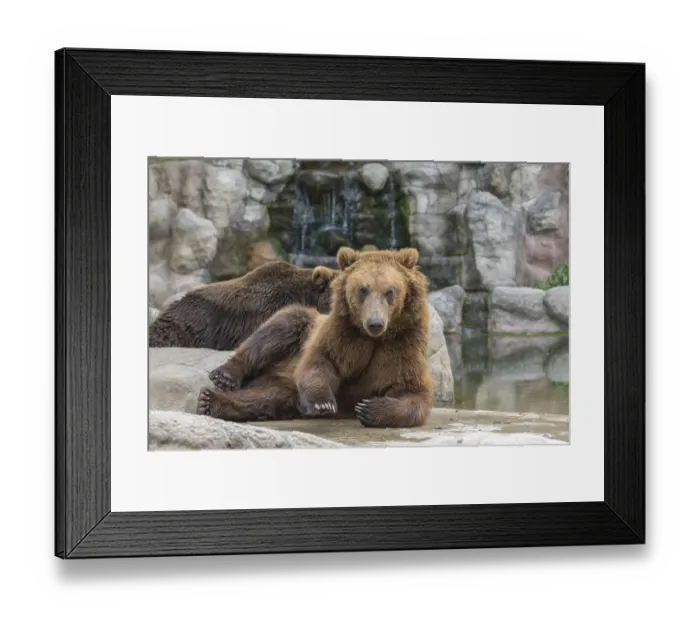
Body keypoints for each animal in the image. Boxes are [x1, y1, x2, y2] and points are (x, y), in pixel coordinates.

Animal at [197, 246, 433, 428]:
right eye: (362, 290)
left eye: (390, 291)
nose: (375, 323)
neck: (373, 339)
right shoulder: (340, 337)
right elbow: (320, 362)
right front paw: (323, 403)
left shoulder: (401, 348)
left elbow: (412, 393)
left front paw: (369, 407)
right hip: (298, 331)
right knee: (277, 330)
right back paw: (222, 379)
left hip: (283, 387)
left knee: (266, 398)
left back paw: (210, 401)